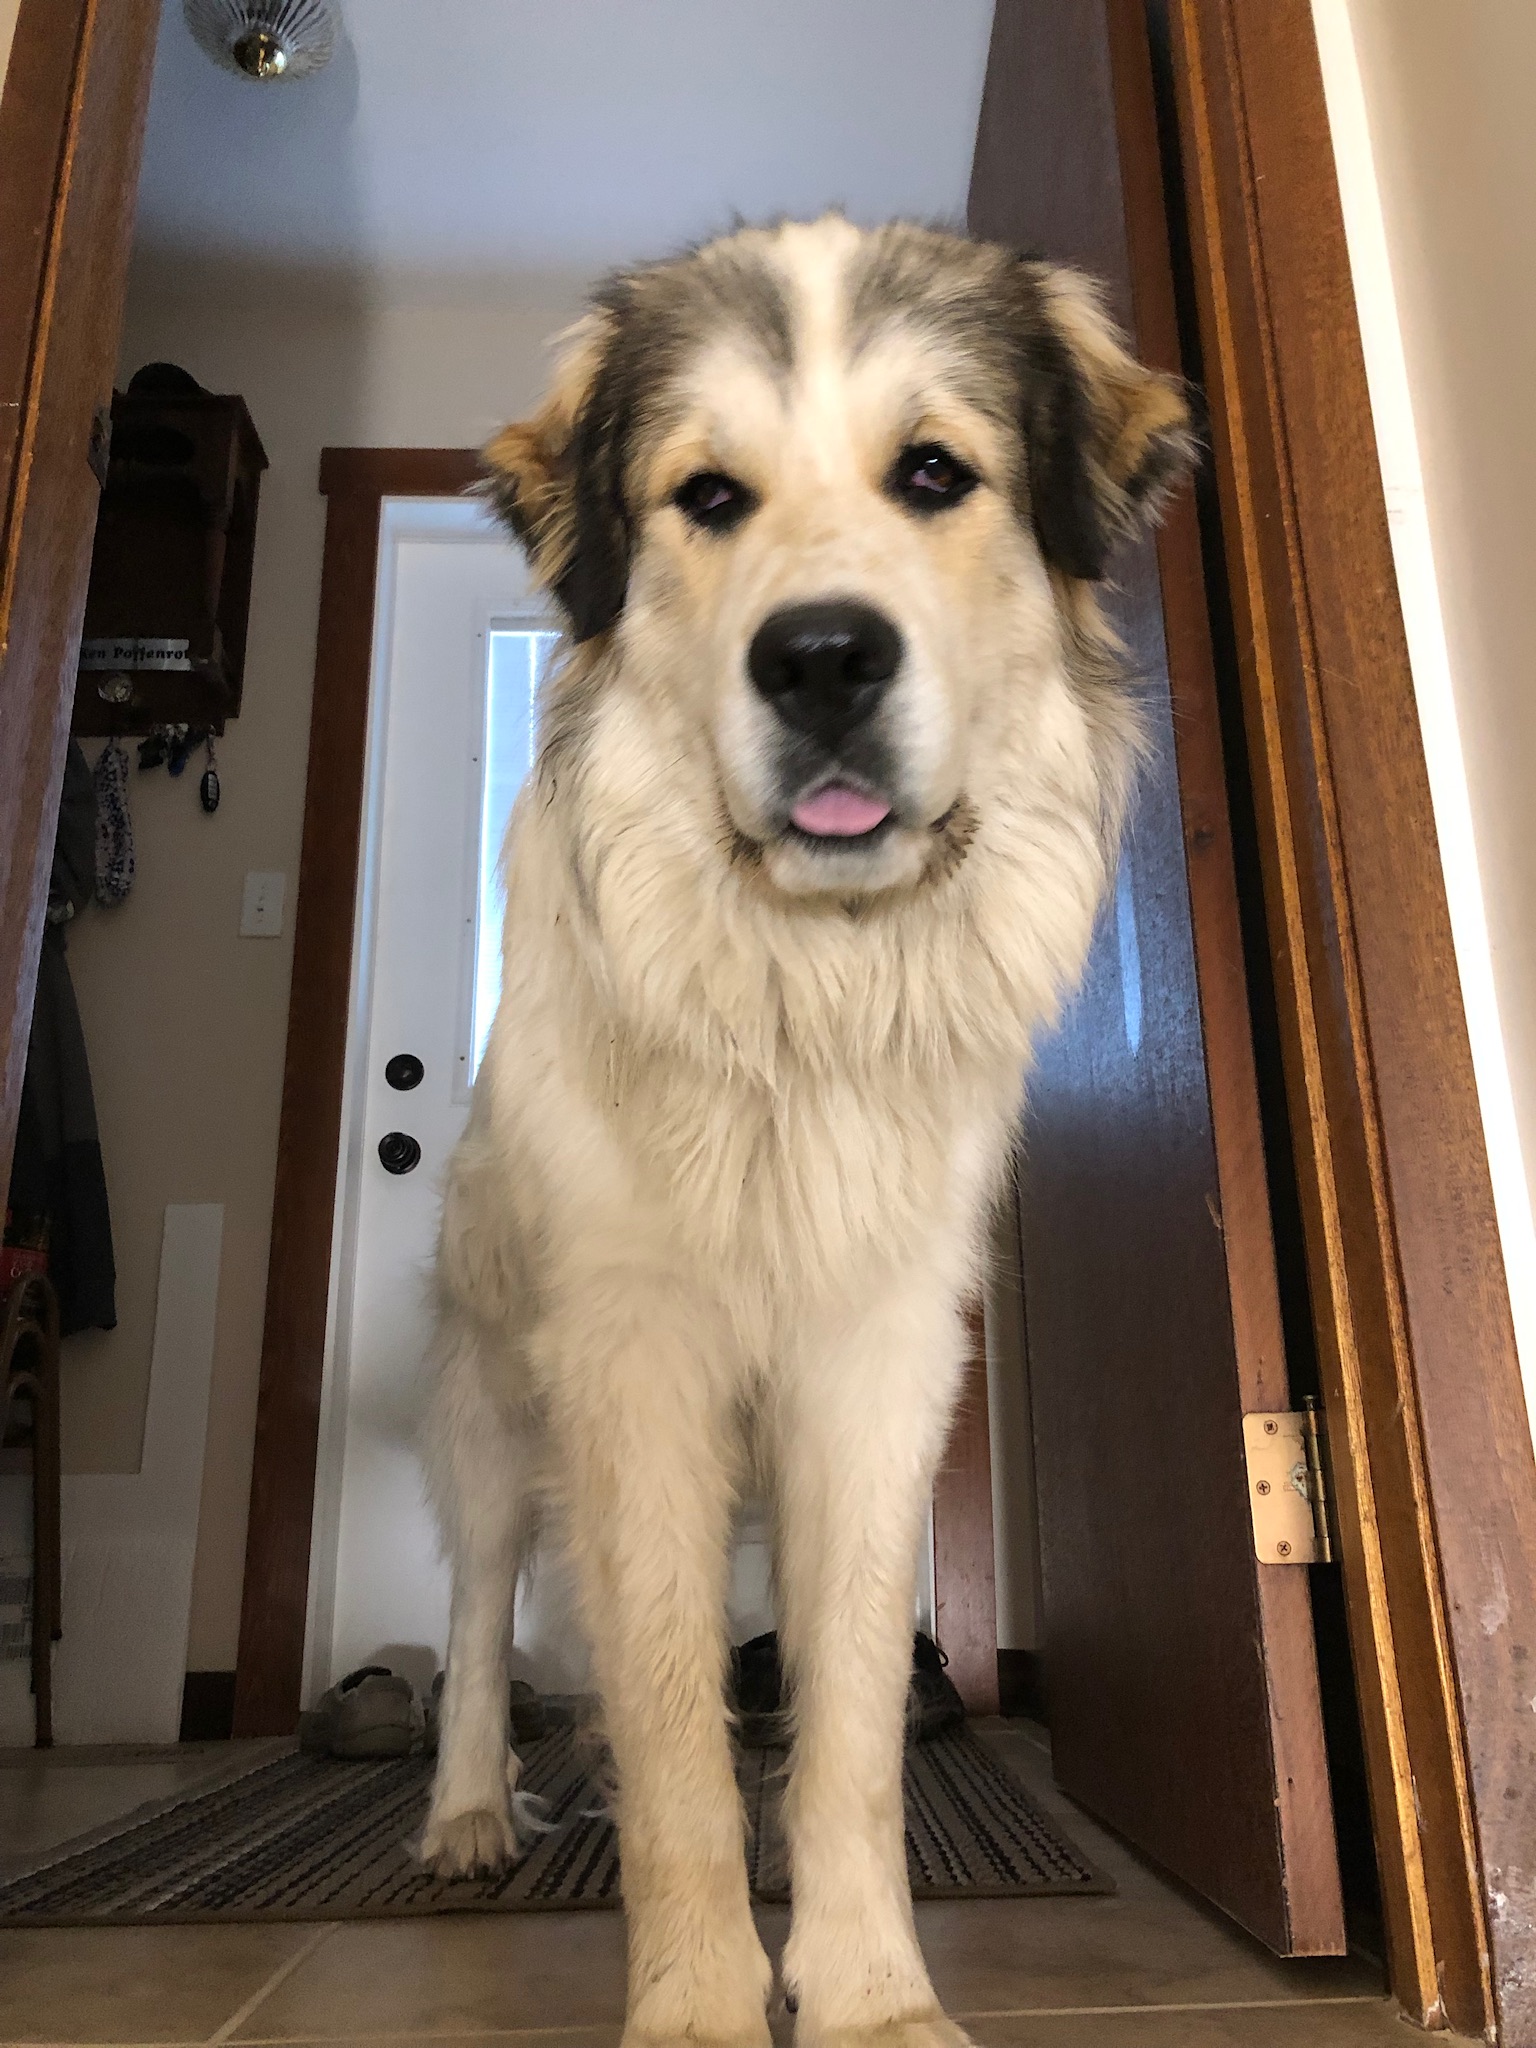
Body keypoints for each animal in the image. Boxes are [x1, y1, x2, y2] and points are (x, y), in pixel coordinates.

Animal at [420, 214, 1193, 2048]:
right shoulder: (632, 1362)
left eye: (934, 473)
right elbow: (676, 1740)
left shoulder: (877, 1364)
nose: (824, 656)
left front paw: (868, 1997)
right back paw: (467, 1811)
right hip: (493, 1388)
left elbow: (839, 1731)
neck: (803, 991)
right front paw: (699, 2002)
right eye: (708, 496)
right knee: (480, 1608)